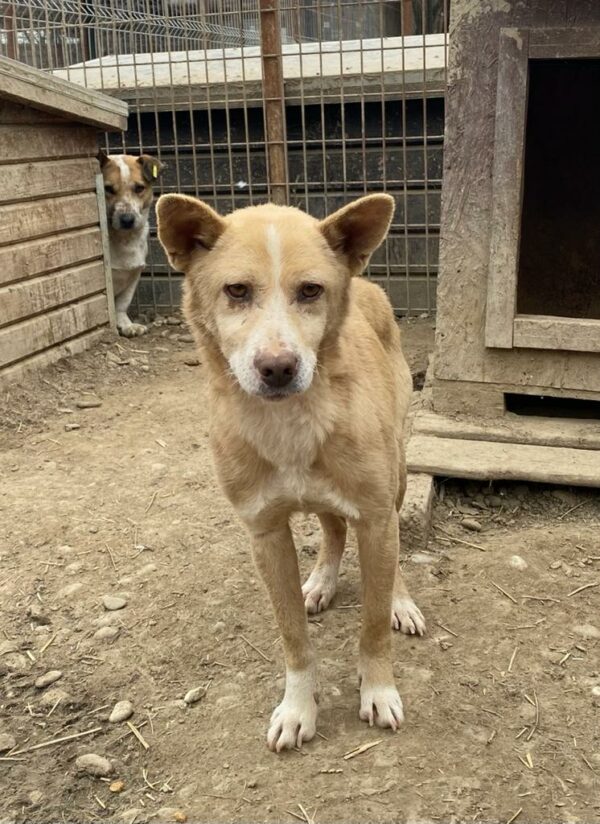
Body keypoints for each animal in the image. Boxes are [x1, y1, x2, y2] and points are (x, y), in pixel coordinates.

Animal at [98, 150, 164, 336]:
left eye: (139, 188)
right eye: (108, 189)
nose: (127, 219)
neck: (124, 238)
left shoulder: (134, 275)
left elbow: (122, 304)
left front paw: (127, 325)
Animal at [157, 193, 424, 752]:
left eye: (311, 291)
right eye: (237, 290)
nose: (278, 367)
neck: (291, 424)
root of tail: (367, 280)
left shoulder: (375, 517)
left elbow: (371, 625)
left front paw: (378, 690)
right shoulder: (266, 534)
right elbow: (293, 636)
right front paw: (299, 707)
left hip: (396, 480)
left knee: (387, 553)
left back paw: (401, 600)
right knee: (332, 529)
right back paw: (321, 580)